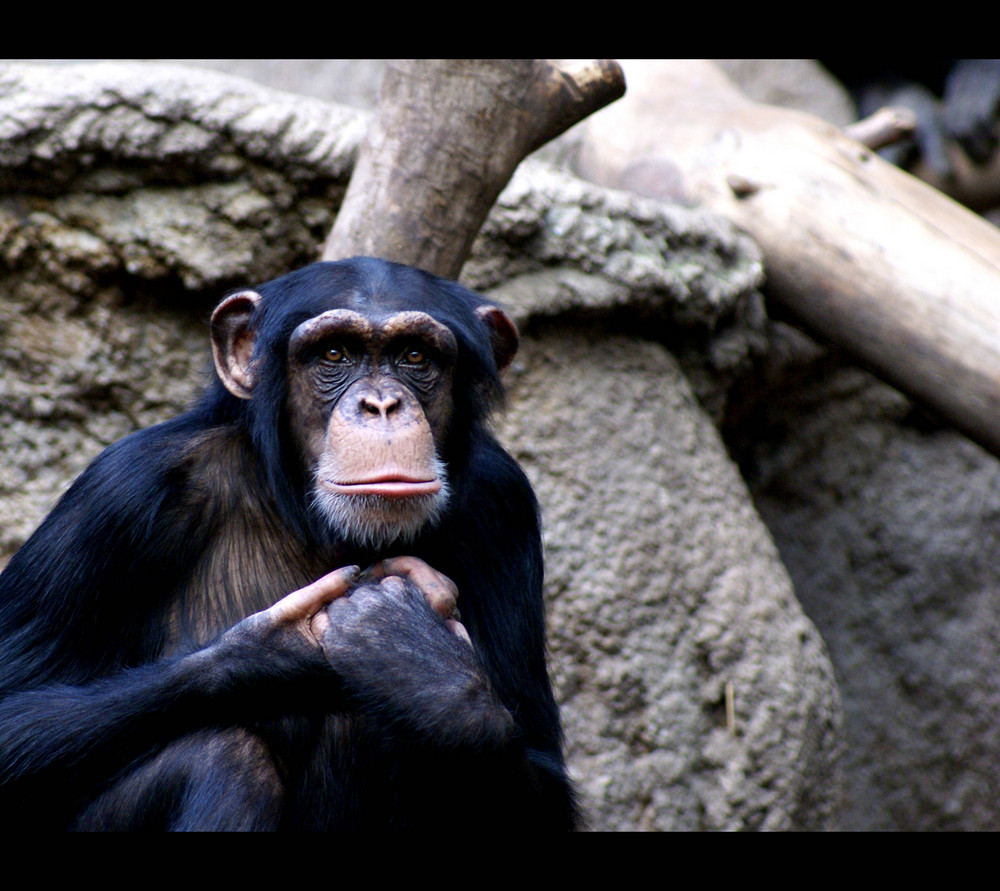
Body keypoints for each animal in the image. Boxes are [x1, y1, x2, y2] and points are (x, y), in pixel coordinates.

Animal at [0, 256, 580, 828]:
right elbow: (12, 706)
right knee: (224, 755)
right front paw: (282, 648)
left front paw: (415, 662)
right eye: (334, 353)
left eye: (415, 355)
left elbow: (540, 775)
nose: (382, 404)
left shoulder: (502, 505)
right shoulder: (122, 490)